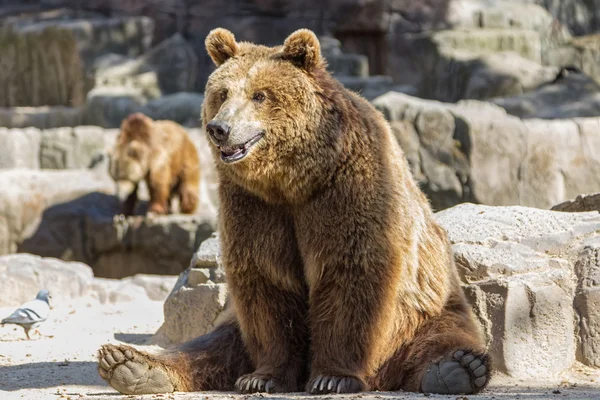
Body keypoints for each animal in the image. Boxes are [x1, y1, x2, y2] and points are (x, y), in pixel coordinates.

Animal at [98, 28, 490, 396]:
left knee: (439, 338)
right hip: (232, 321)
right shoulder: (255, 205)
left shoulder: (346, 190)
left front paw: (332, 377)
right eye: (222, 93)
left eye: (259, 94)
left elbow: (350, 270)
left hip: (427, 307)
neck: (292, 180)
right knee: (212, 344)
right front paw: (263, 377)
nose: (219, 128)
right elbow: (267, 280)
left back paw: (458, 368)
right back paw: (130, 364)